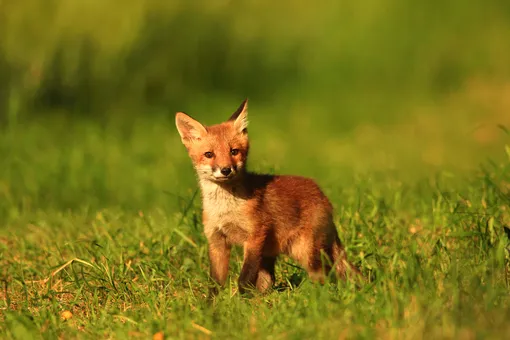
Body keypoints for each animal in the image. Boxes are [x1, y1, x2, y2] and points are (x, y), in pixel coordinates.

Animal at [177, 99, 360, 294]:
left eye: (234, 151)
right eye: (209, 154)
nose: (226, 170)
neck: (226, 209)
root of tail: (321, 193)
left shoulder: (255, 236)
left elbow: (244, 278)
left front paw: (240, 300)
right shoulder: (216, 240)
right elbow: (215, 283)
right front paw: (213, 302)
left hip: (304, 251)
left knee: (325, 276)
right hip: (270, 254)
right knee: (269, 281)